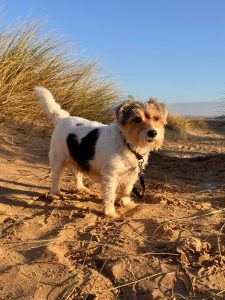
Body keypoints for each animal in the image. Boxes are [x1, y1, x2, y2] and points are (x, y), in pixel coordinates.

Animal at [33, 86, 167, 216]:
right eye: (137, 120)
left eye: (156, 118)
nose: (153, 133)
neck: (127, 143)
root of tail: (64, 118)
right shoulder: (110, 176)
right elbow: (110, 196)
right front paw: (110, 212)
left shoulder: (132, 174)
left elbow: (126, 190)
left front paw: (126, 203)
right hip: (58, 159)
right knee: (56, 177)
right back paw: (55, 193)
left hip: (78, 157)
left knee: (77, 173)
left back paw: (80, 187)